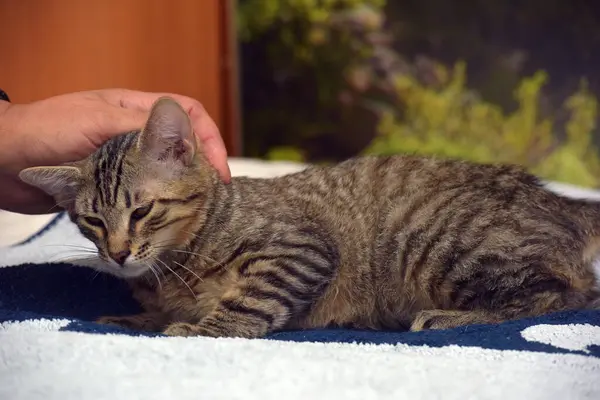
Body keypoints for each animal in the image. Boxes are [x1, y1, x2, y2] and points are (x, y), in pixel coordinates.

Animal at [18, 97, 600, 338]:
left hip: (436, 243)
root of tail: (555, 200)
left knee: (565, 296)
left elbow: (248, 301)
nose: (117, 255)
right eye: (92, 222)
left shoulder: (300, 249)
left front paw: (204, 327)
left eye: (142, 210)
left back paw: (449, 318)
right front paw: (131, 318)